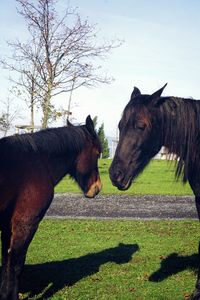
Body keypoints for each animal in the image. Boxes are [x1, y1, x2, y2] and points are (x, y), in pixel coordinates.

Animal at [0, 115, 101, 300]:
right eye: (98, 153)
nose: (97, 187)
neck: (37, 162)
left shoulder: (7, 226)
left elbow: (6, 262)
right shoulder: (25, 223)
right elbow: (16, 264)